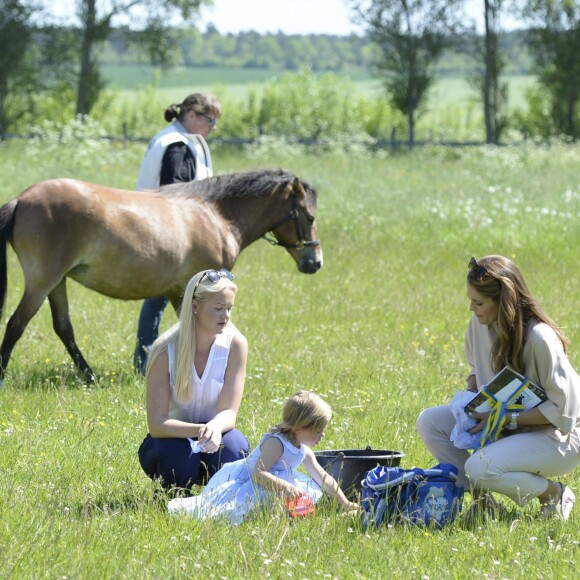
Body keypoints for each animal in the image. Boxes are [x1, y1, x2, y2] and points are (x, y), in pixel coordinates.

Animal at [0, 168, 322, 380]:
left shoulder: (176, 291)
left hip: (57, 283)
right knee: (16, 324)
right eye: (309, 217)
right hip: (42, 282)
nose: (315, 262)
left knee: (63, 327)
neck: (215, 215)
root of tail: (21, 199)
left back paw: (89, 375)